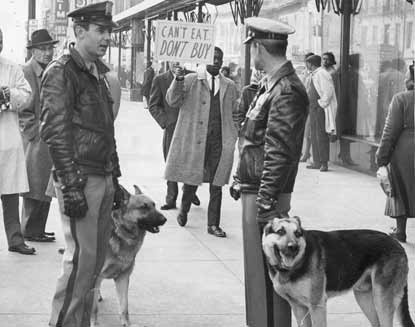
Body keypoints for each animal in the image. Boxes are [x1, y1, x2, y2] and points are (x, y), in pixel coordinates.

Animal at [92, 186, 167, 326]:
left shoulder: (123, 278)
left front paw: (126, 323)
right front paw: (94, 323)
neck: (122, 234)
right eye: (143, 207)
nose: (164, 220)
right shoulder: (97, 275)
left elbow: (124, 306)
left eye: (154, 205)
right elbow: (93, 308)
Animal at [262, 218, 414, 327]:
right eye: (280, 232)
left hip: (382, 301)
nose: (293, 247)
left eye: (298, 234)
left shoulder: (317, 306)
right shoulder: (298, 308)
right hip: (364, 298)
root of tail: (397, 243)